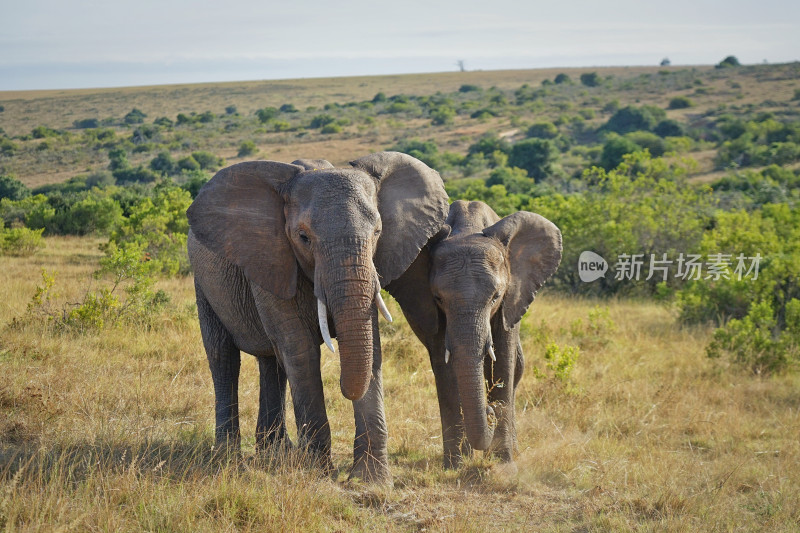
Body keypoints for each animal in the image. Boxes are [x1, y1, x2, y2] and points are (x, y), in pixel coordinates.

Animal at [186, 151, 450, 482]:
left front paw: (371, 480)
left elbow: (371, 349)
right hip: (202, 281)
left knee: (271, 362)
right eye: (303, 237)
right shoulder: (273, 257)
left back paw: (274, 452)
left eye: (378, 232)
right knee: (223, 356)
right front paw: (319, 472)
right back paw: (229, 455)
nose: (343, 389)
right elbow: (300, 350)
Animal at [388, 198, 564, 466]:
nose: (489, 413)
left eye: (495, 297)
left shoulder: (511, 300)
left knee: (517, 367)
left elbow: (502, 362)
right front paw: (455, 465)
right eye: (438, 298)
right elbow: (445, 367)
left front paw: (503, 463)